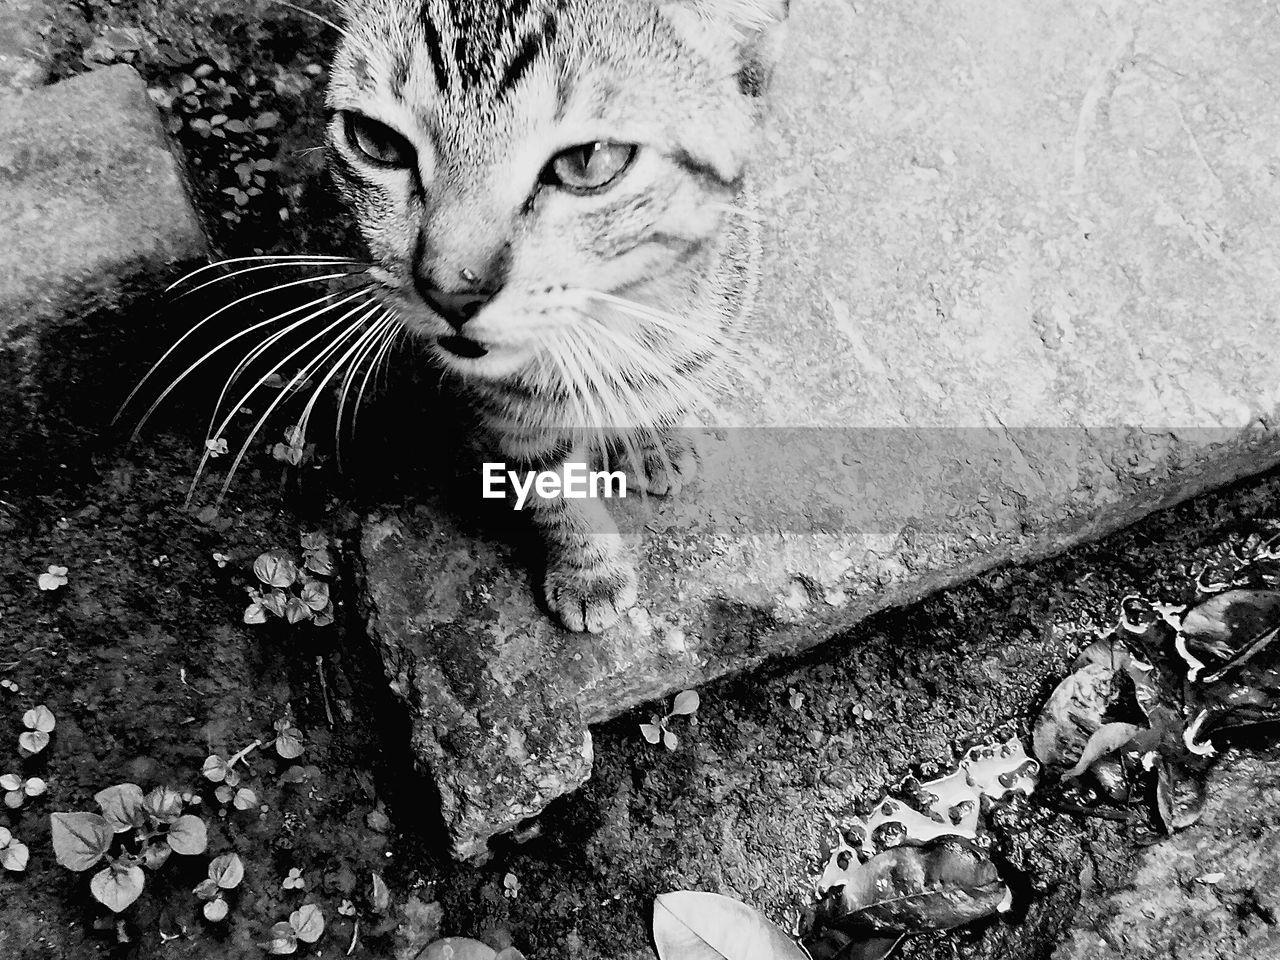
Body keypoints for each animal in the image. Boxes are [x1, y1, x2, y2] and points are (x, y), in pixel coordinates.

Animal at [327, 0, 788, 634]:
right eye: (375, 140)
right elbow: (551, 484)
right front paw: (588, 568)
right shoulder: (508, 411)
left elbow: (669, 384)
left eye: (587, 161)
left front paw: (656, 435)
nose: (450, 290)